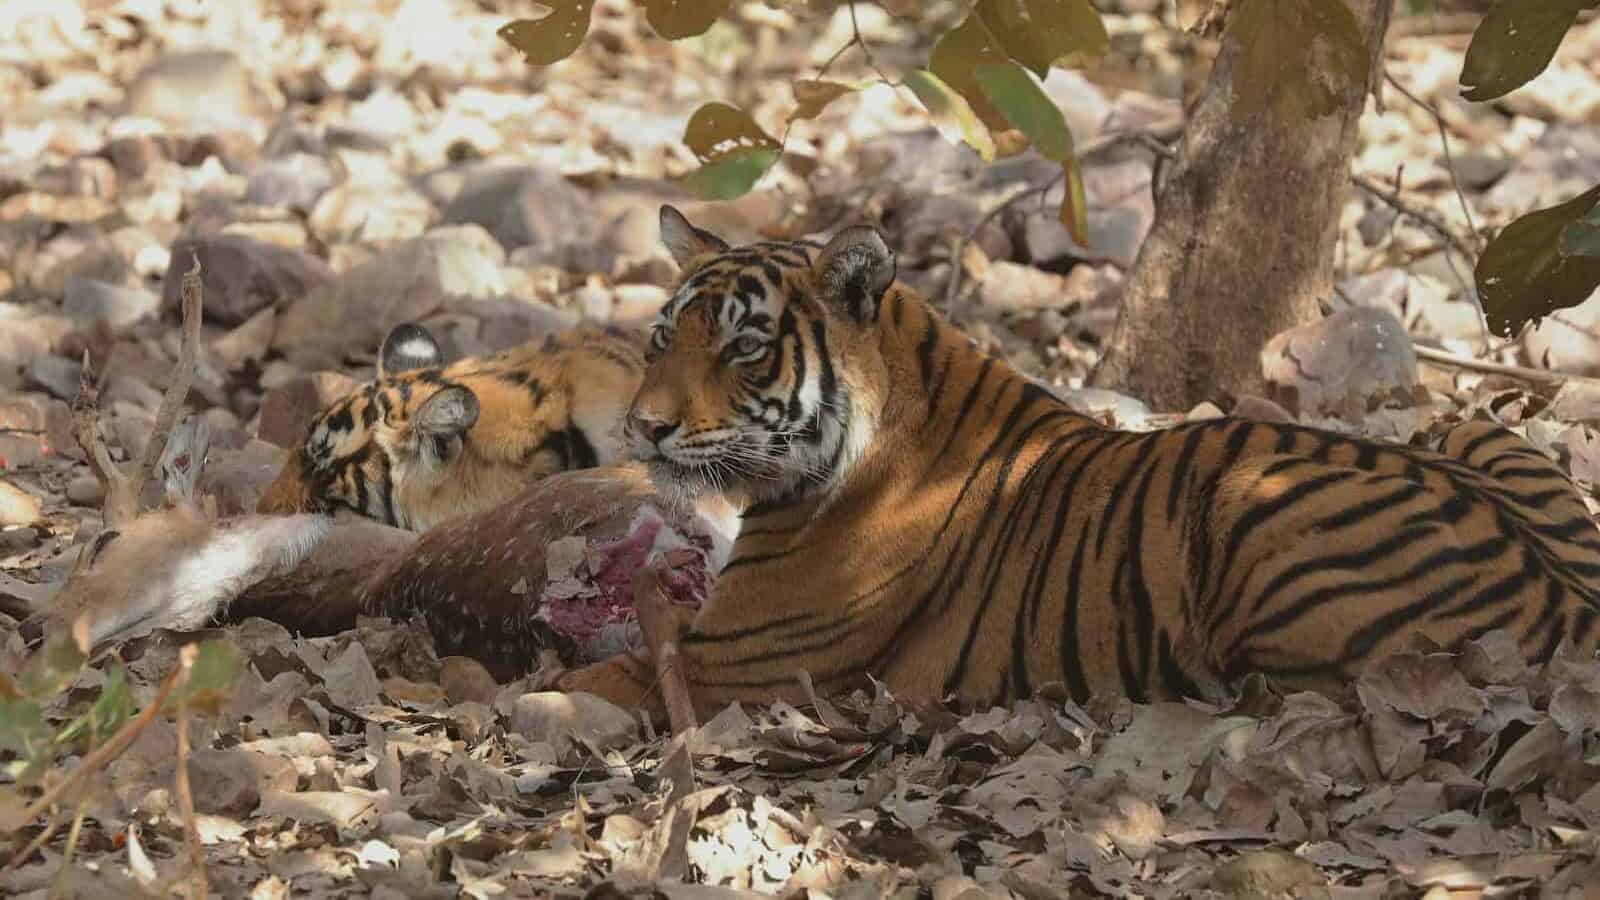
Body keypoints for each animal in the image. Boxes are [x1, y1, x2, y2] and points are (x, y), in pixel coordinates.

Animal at [556, 204, 1600, 724]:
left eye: (743, 348)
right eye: (662, 339)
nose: (643, 430)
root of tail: (1565, 592)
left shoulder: (728, 662)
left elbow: (568, 690)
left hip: (1251, 504)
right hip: (1465, 432)